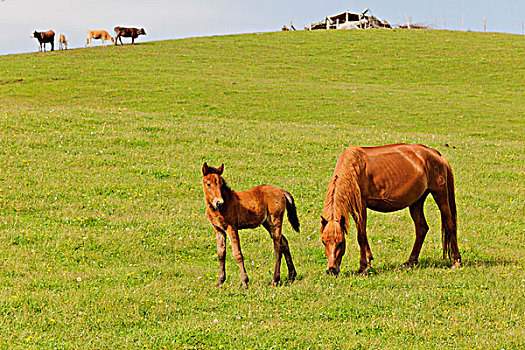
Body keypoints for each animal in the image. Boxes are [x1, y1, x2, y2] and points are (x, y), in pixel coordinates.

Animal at [320, 144, 462, 274]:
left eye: (341, 242)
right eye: (323, 242)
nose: (331, 270)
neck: (353, 168)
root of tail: (437, 154)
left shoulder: (362, 206)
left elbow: (361, 236)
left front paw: (363, 267)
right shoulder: (355, 209)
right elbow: (363, 235)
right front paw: (368, 261)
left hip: (440, 194)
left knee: (450, 225)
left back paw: (456, 262)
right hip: (416, 202)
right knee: (422, 228)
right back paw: (410, 262)